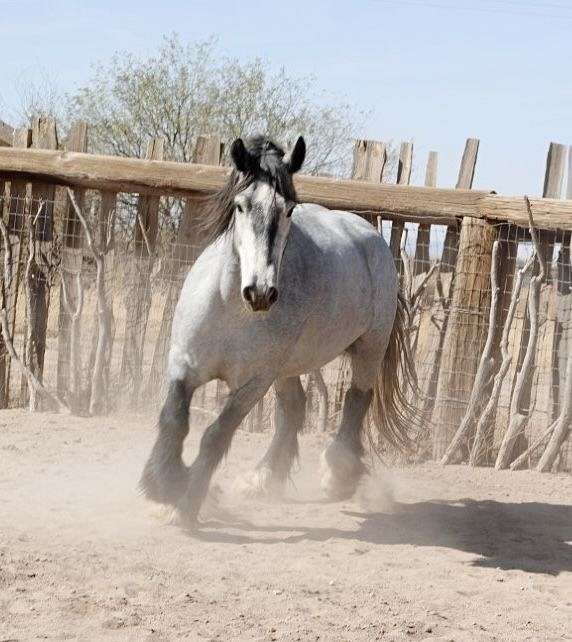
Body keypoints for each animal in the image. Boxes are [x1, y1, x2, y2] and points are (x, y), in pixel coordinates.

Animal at [139, 134, 416, 520]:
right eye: (240, 206)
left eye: (288, 210)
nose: (260, 292)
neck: (231, 311)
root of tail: (369, 235)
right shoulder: (183, 365)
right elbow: (175, 420)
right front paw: (164, 484)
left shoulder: (252, 385)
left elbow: (216, 435)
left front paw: (188, 504)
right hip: (288, 366)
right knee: (295, 407)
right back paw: (263, 479)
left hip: (368, 347)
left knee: (357, 399)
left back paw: (337, 476)